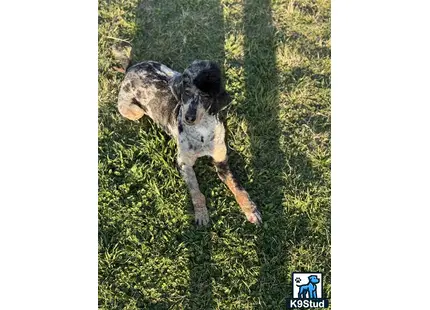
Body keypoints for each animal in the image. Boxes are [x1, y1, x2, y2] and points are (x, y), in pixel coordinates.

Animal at [115, 59, 262, 225]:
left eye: (206, 96)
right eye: (186, 92)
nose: (189, 117)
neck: (202, 132)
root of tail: (131, 68)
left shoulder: (221, 161)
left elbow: (238, 188)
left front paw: (251, 210)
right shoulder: (183, 163)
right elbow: (196, 191)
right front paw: (201, 213)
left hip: (171, 72)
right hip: (134, 110)